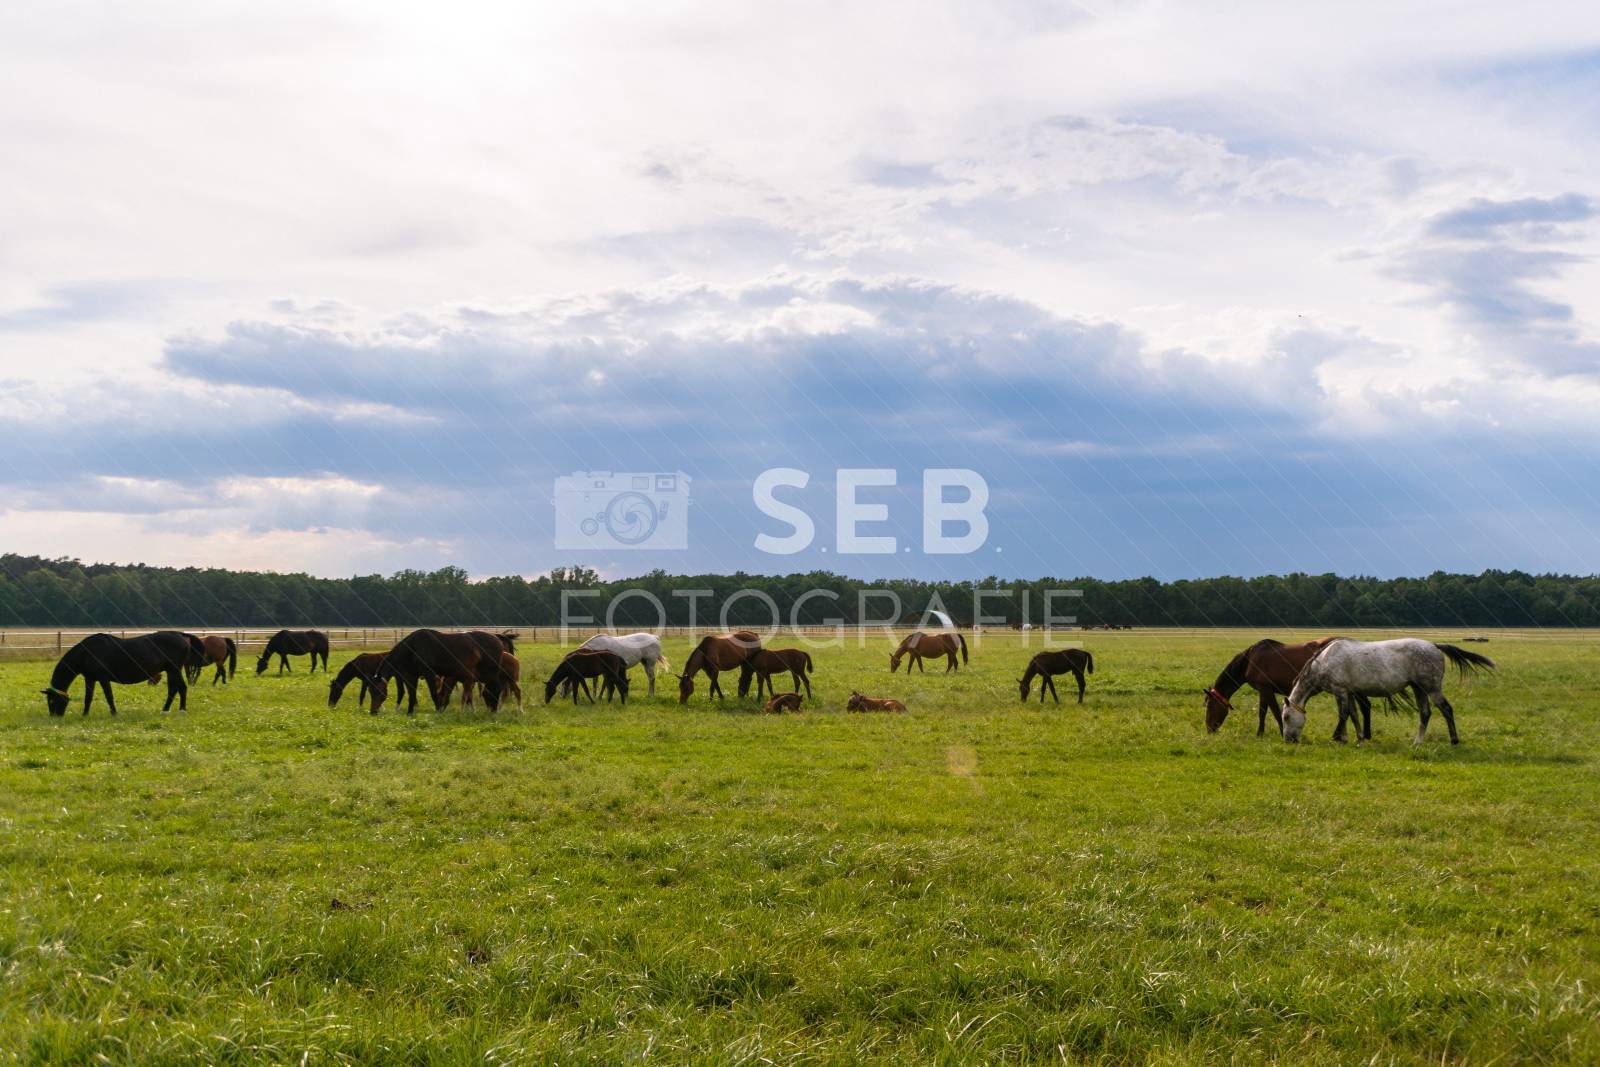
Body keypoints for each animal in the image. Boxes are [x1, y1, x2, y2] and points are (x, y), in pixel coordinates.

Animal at [42, 631, 198, 716]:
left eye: (51, 700)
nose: (54, 716)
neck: (86, 653)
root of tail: (180, 634)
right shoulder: (90, 678)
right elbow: (88, 698)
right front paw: (85, 714)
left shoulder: (103, 678)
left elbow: (109, 696)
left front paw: (114, 713)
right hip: (171, 670)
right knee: (175, 689)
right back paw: (168, 710)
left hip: (174, 669)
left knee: (179, 688)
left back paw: (179, 710)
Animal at [375, 629, 505, 714]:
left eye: (378, 692)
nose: (373, 711)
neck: (413, 648)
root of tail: (497, 640)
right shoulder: (411, 676)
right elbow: (412, 694)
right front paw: (410, 712)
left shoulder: (429, 674)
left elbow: (434, 693)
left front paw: (438, 711)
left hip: (490, 674)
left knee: (496, 689)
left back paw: (494, 710)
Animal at [1204, 637, 1377, 737]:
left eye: (1210, 706)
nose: (1209, 729)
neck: (1250, 660)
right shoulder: (1263, 690)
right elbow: (1263, 712)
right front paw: (1261, 732)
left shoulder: (1265, 689)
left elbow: (1272, 712)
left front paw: (1280, 731)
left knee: (1362, 707)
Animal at [1283, 638, 1495, 745]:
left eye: (1285, 717)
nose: (1288, 740)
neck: (1324, 661)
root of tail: (1434, 645)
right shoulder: (1349, 692)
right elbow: (1354, 715)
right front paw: (1359, 737)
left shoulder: (1340, 690)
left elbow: (1343, 715)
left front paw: (1338, 737)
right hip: (1418, 688)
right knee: (1425, 713)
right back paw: (1417, 742)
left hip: (1431, 688)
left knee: (1446, 709)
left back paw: (1454, 740)